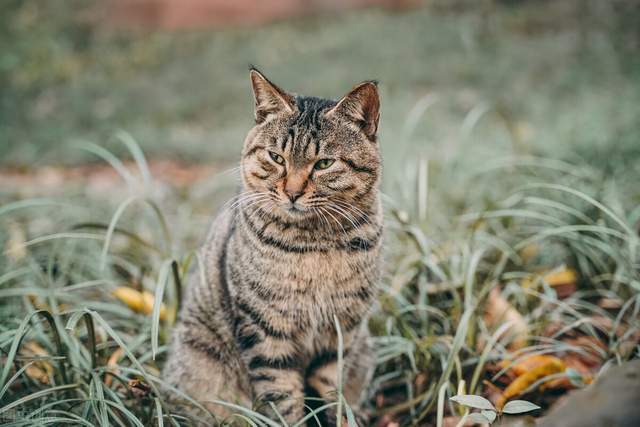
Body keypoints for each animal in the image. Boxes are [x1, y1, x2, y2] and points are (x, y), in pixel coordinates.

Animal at [166, 68, 384, 426]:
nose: (292, 192)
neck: (314, 245)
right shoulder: (265, 331)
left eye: (323, 164)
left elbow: (328, 396)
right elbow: (283, 401)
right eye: (276, 158)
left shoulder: (340, 333)